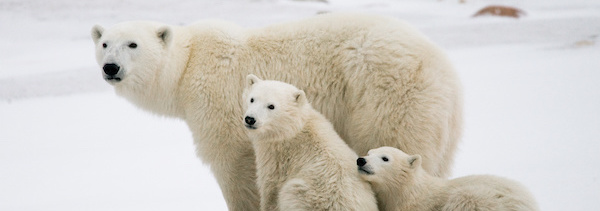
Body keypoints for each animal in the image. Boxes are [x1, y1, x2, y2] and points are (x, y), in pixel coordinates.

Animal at [243, 75, 376, 211]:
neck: (294, 130)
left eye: (271, 106)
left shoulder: (277, 158)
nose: (250, 119)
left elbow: (270, 188)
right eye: (252, 99)